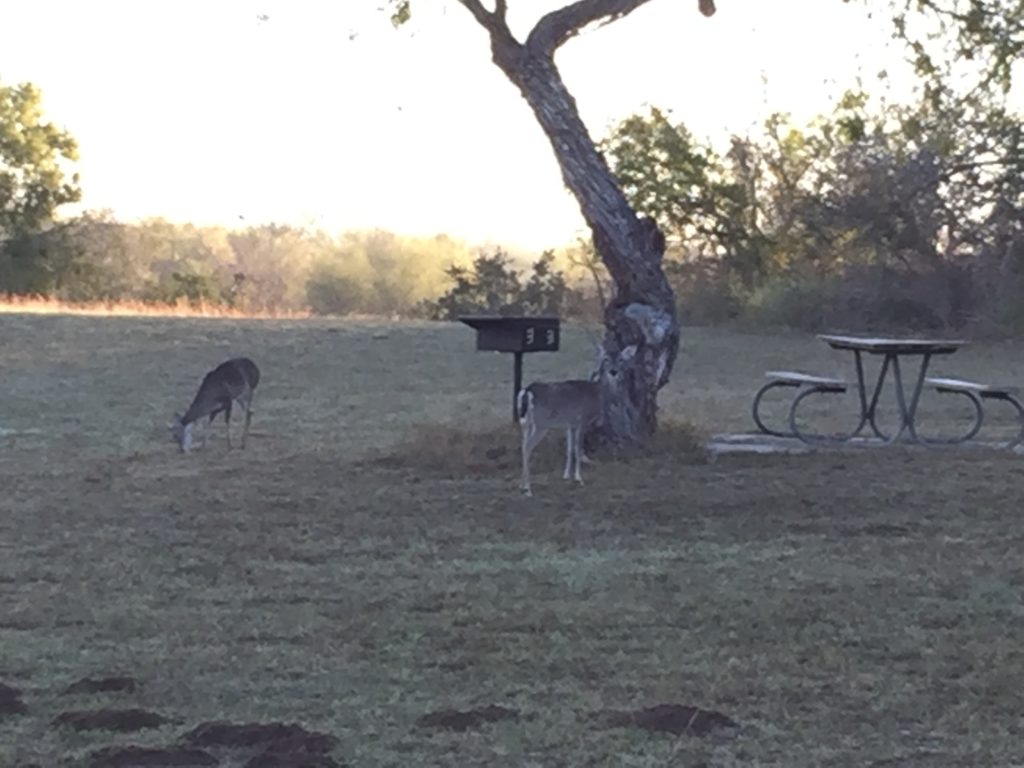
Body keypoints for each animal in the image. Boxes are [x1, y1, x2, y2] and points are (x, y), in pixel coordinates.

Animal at [517, 345, 635, 496]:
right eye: (606, 359)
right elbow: (578, 448)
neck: (598, 393)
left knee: (523, 445)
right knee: (527, 447)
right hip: (541, 423)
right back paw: (528, 489)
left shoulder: (570, 424)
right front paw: (579, 478)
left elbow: (570, 449)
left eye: (621, 359)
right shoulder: (582, 420)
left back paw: (522, 485)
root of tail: (526, 391)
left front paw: (567, 475)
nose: (613, 372)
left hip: (526, 423)